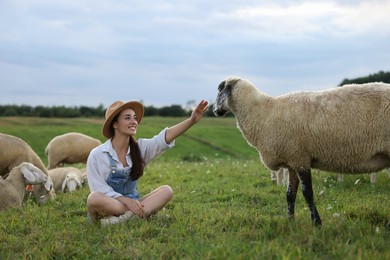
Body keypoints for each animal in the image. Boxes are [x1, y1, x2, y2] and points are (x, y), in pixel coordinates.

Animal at [215, 75, 390, 225]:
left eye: (219, 89)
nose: (216, 111)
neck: (263, 113)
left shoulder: (300, 158)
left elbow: (308, 194)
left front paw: (316, 223)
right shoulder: (292, 161)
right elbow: (290, 195)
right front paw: (290, 221)